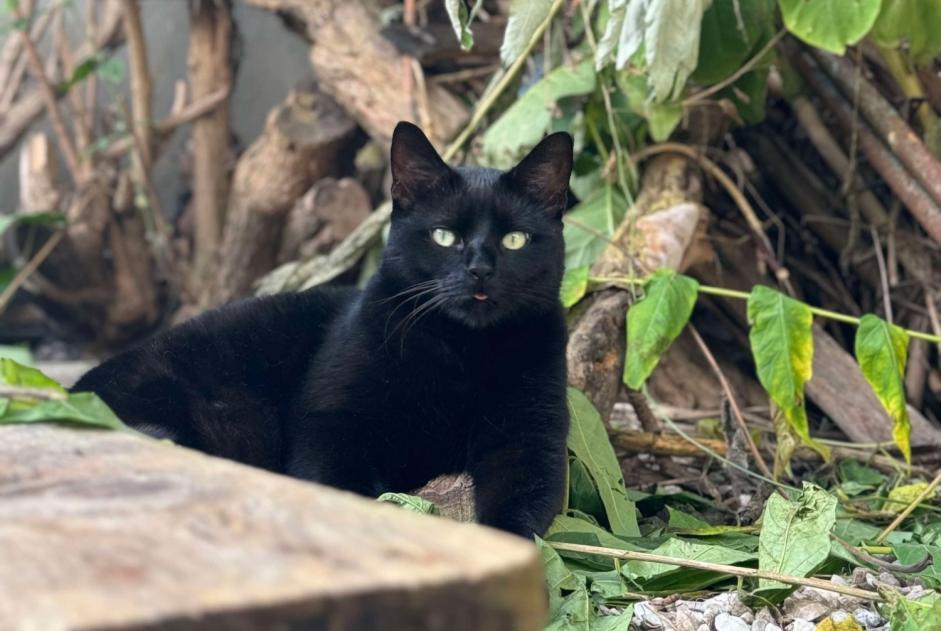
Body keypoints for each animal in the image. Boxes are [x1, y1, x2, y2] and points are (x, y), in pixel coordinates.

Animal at [73, 123, 568, 540]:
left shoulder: (529, 441)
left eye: (514, 240)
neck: (460, 351)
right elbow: (341, 487)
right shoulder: (329, 422)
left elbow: (518, 512)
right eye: (444, 236)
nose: (480, 270)